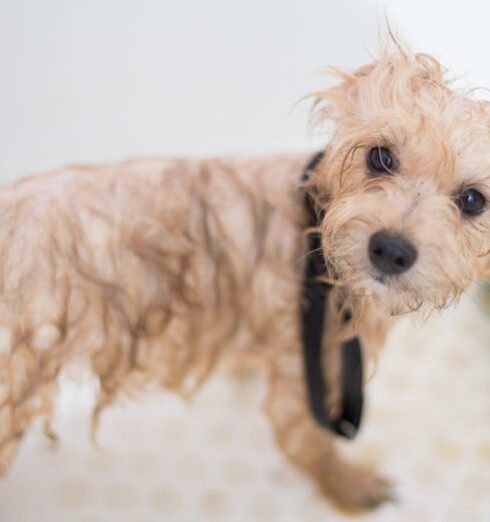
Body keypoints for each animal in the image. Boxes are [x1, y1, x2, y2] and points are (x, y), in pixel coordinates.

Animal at [0, 46, 490, 510]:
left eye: (473, 200)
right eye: (381, 156)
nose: (390, 248)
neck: (314, 231)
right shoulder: (309, 370)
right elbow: (309, 444)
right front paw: (350, 484)